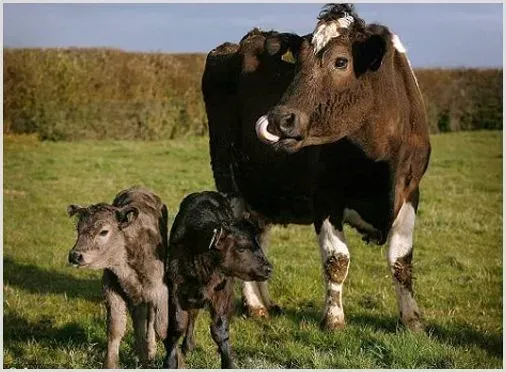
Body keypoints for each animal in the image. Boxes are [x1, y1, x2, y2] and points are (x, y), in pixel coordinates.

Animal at [202, 3, 430, 332]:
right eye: (298, 64)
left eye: (341, 61)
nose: (279, 119)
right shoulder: (324, 197)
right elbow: (337, 260)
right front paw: (333, 319)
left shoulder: (411, 192)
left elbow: (401, 261)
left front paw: (412, 320)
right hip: (230, 181)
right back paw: (256, 305)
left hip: (264, 187)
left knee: (258, 236)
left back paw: (265, 304)